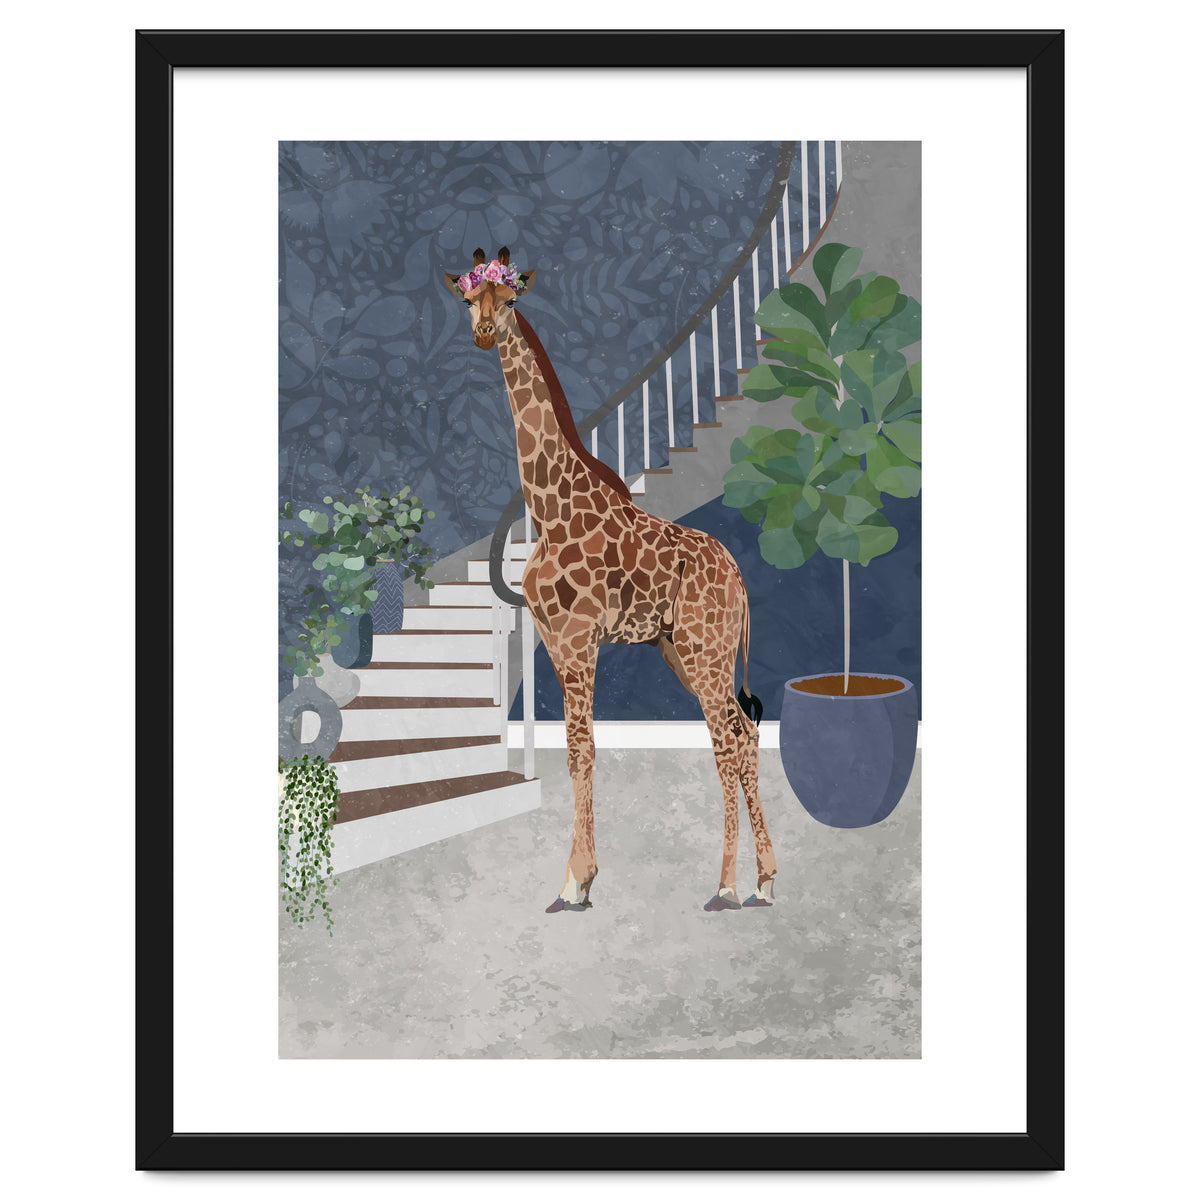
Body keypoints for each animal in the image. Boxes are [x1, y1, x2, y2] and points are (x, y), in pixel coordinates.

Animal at [444, 247, 777, 913]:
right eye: (469, 298)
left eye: (511, 298)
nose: (485, 332)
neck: (549, 507)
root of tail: (738, 575)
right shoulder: (552, 640)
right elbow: (577, 751)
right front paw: (580, 877)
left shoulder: (578, 640)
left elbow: (582, 747)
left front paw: (575, 881)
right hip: (686, 650)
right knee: (744, 734)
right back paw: (764, 881)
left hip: (705, 650)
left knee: (728, 741)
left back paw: (727, 885)